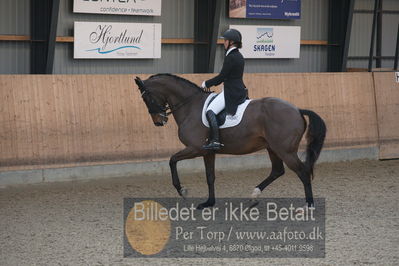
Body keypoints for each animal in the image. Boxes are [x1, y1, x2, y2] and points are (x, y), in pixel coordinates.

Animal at [136, 74, 326, 209]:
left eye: (147, 98)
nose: (159, 121)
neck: (190, 106)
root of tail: (297, 109)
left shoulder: (195, 148)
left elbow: (172, 160)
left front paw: (182, 190)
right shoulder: (208, 152)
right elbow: (210, 177)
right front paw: (209, 203)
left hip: (285, 150)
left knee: (303, 171)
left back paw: (308, 205)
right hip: (273, 148)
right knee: (278, 171)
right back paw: (254, 195)